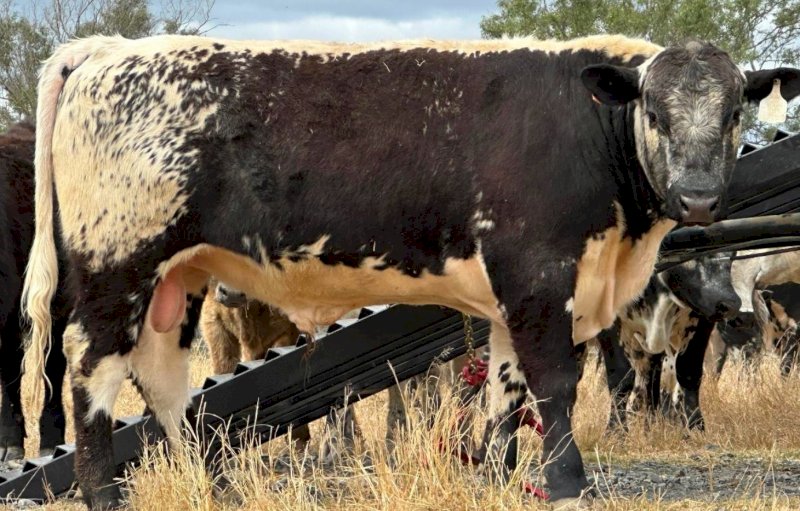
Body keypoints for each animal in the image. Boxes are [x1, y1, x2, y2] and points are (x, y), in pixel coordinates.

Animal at [21, 34, 800, 509]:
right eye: (655, 114)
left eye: (732, 113)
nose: (698, 196)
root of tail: (109, 49)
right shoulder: (539, 277)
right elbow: (555, 384)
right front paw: (567, 480)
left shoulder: (513, 299)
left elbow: (505, 395)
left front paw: (495, 475)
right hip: (118, 268)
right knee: (92, 375)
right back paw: (103, 494)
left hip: (176, 282)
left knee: (163, 382)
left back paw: (214, 490)